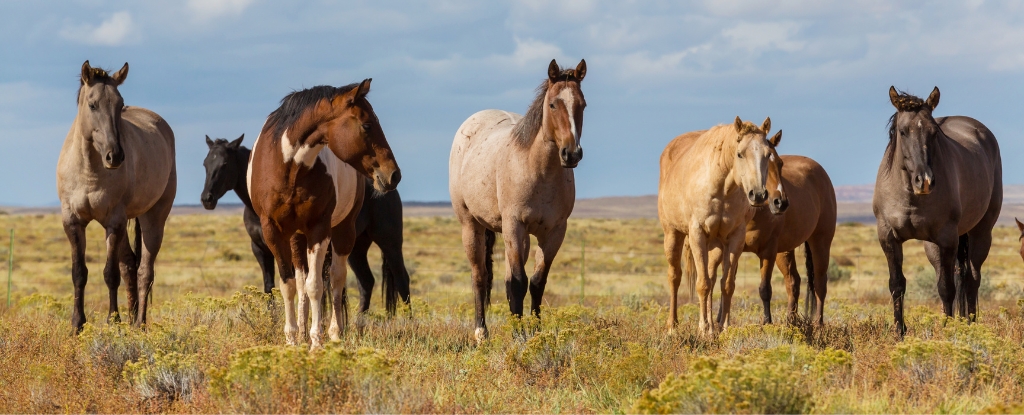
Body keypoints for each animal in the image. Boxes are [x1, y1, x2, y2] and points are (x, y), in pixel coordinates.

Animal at [56, 61, 177, 332]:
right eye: (92, 104)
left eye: (120, 104)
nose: (116, 156)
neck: (89, 170)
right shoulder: (72, 221)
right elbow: (79, 272)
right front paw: (77, 324)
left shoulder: (114, 221)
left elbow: (110, 274)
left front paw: (113, 320)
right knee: (130, 265)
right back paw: (132, 320)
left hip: (153, 218)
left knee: (144, 271)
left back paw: (139, 324)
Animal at [246, 79, 399, 348]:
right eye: (367, 124)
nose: (394, 174)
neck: (289, 168)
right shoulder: (273, 231)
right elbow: (289, 285)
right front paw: (293, 340)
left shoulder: (319, 229)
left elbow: (316, 285)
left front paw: (316, 342)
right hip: (297, 237)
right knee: (302, 281)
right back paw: (303, 332)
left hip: (344, 231)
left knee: (336, 279)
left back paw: (335, 333)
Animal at [448, 58, 585, 342]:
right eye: (552, 104)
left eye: (582, 104)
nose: (571, 154)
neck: (538, 170)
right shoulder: (514, 226)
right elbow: (519, 283)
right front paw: (519, 334)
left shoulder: (554, 233)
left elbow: (536, 282)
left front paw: (534, 331)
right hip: (472, 226)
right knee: (479, 276)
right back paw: (481, 332)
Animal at [659, 117, 770, 336]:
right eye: (739, 153)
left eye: (768, 154)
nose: (758, 195)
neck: (722, 189)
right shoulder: (697, 234)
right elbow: (703, 284)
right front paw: (704, 330)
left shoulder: (735, 237)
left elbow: (726, 284)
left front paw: (722, 328)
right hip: (673, 235)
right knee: (675, 277)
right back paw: (672, 326)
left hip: (716, 246)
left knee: (712, 276)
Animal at [876, 85, 1003, 334]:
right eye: (902, 132)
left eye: (934, 132)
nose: (924, 180)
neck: (910, 197)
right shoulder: (888, 237)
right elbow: (897, 284)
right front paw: (899, 332)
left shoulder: (946, 238)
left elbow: (946, 288)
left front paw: (946, 330)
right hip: (933, 246)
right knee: (960, 276)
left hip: (980, 233)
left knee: (972, 279)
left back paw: (970, 323)